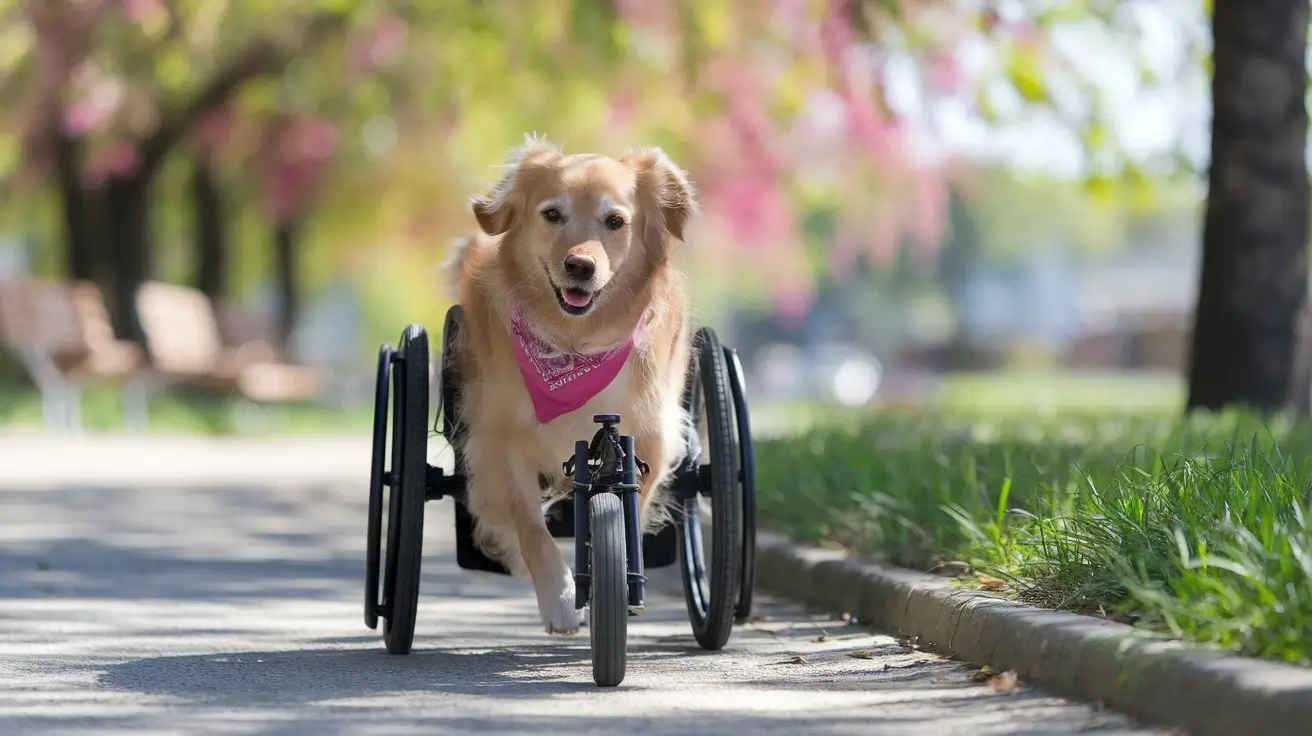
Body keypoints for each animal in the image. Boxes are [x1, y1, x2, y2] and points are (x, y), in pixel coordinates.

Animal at [443, 133, 697, 632]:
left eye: (615, 221)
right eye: (552, 215)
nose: (580, 266)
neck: (574, 343)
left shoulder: (649, 441)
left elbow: (626, 512)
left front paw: (611, 582)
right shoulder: (500, 443)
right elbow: (529, 528)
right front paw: (560, 598)